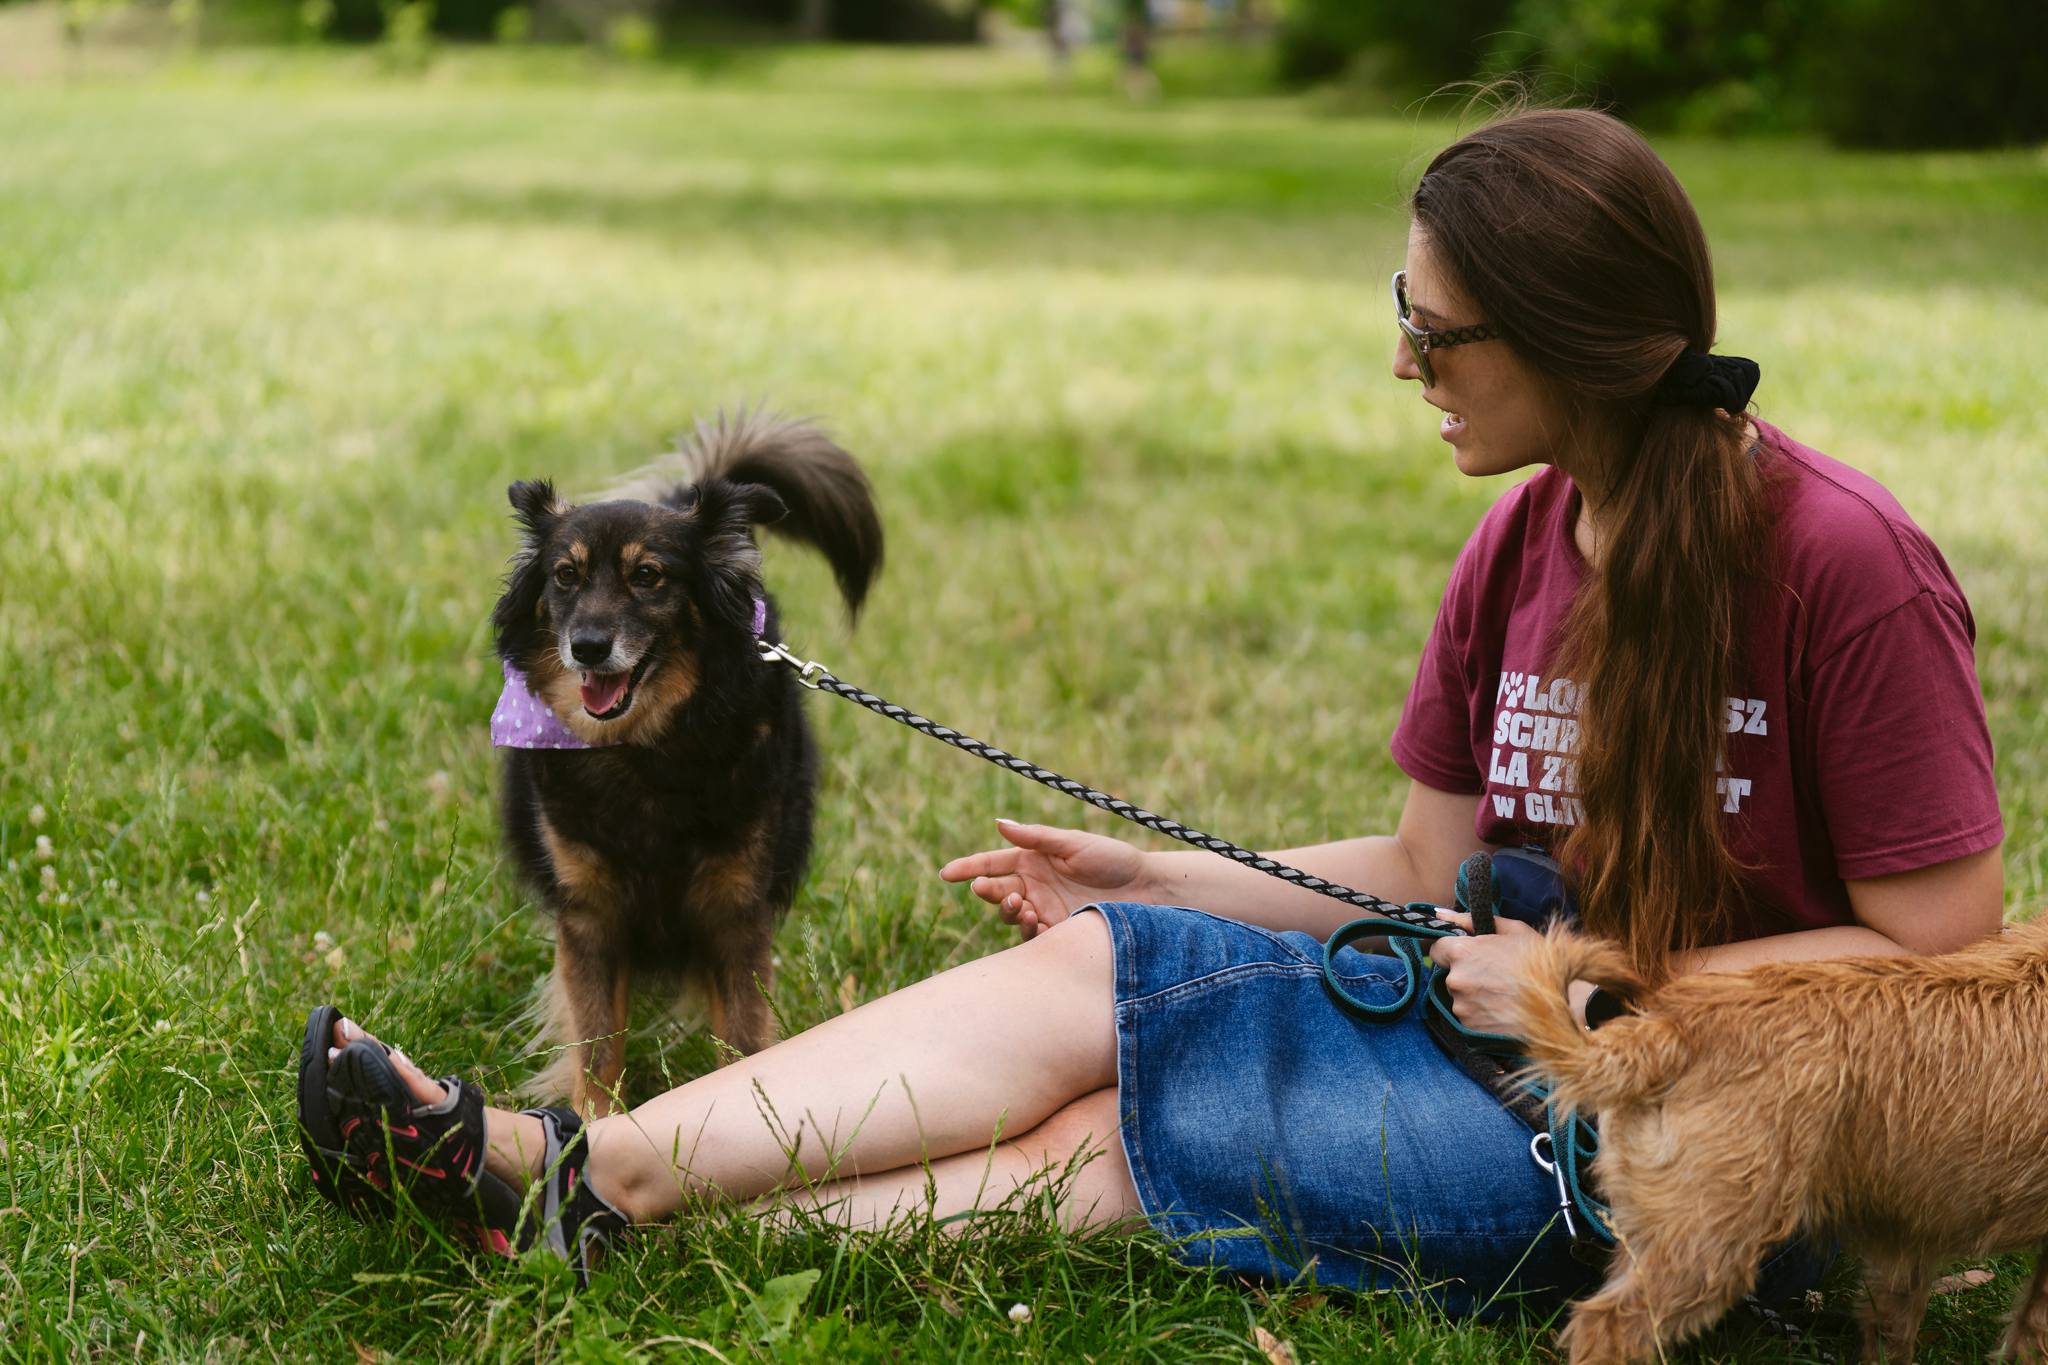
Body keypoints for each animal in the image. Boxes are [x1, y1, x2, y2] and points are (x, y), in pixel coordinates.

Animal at [499, 411, 884, 1113]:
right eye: (564, 576)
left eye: (649, 576)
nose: (587, 648)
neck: (645, 750)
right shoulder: (590, 916)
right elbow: (596, 1048)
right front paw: (594, 1126)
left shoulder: (735, 915)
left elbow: (746, 1038)